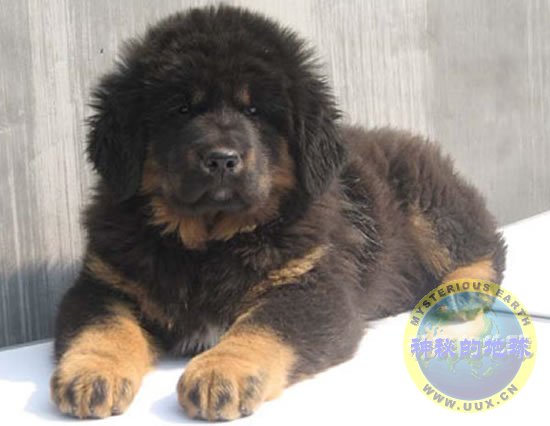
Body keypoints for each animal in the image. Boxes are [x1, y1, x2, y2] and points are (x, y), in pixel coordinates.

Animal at [50, 5, 506, 421]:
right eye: (180, 109)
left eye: (254, 111)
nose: (221, 159)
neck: (209, 242)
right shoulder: (106, 282)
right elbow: (103, 326)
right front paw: (90, 374)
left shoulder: (313, 285)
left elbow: (264, 325)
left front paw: (221, 373)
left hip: (427, 203)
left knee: (483, 243)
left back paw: (461, 292)